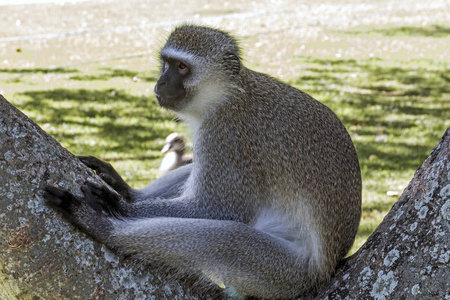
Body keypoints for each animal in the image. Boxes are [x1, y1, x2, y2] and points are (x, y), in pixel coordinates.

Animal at [44, 24, 362, 298]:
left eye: (182, 67)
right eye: (166, 63)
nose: (160, 82)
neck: (226, 95)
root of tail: (325, 270)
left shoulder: (224, 134)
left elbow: (221, 210)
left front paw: (121, 206)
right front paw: (124, 191)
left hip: (285, 275)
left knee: (228, 240)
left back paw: (103, 226)